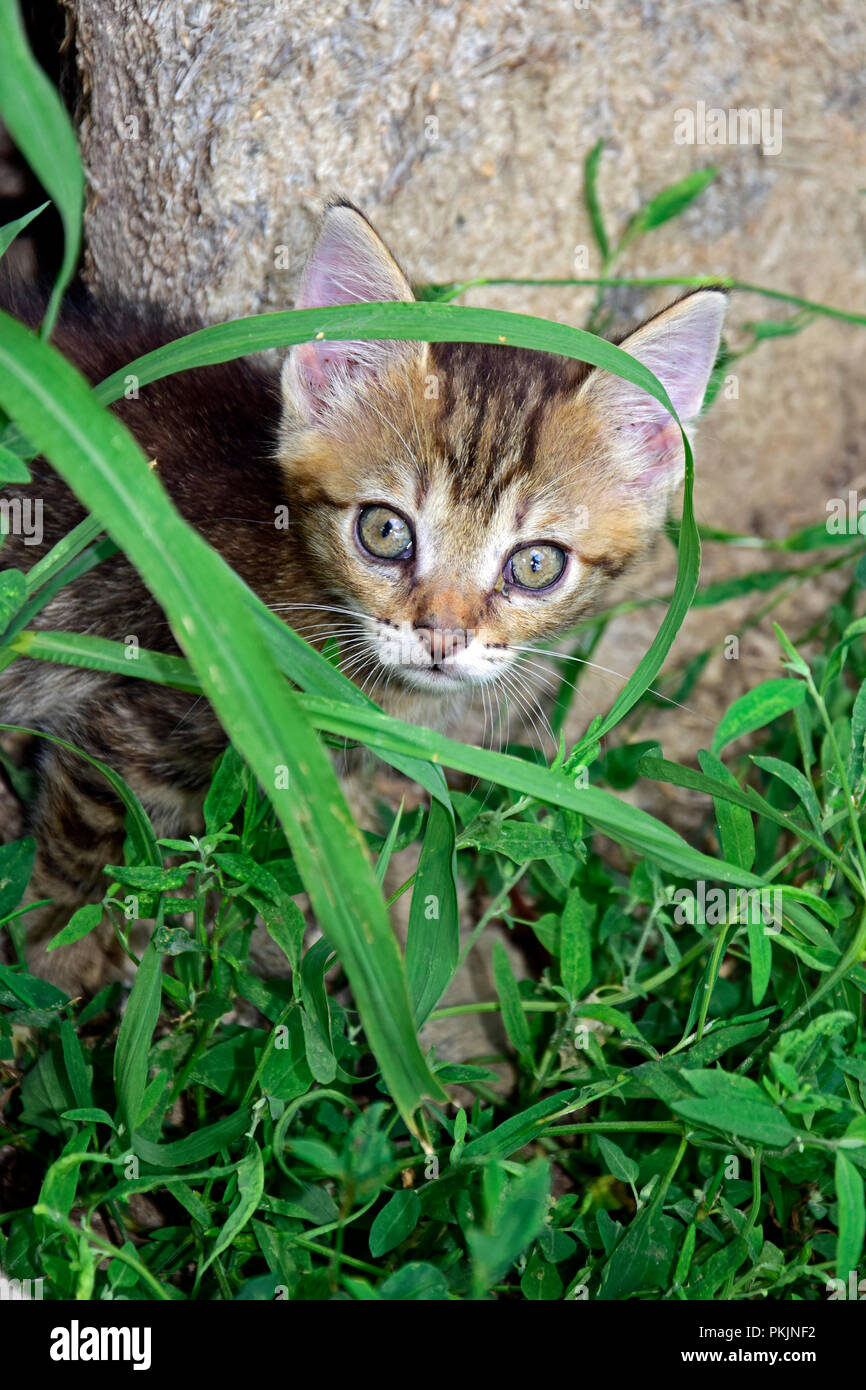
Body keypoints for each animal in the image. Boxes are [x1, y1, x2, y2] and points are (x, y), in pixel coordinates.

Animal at [0, 201, 722, 995]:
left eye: (535, 564)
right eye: (385, 531)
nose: (441, 636)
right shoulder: (134, 717)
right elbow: (85, 848)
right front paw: (53, 965)